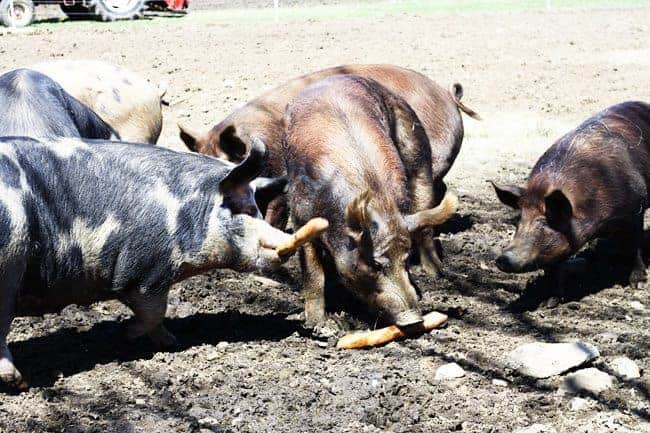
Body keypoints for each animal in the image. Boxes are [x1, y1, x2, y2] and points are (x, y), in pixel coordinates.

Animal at [0, 136, 306, 388]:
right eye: (237, 208)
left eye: (257, 209)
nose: (285, 242)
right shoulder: (145, 270)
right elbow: (155, 311)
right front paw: (128, 335)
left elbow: (157, 317)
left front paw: (171, 343)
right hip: (9, 266)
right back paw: (18, 382)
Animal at [280, 75, 456, 330]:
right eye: (375, 264)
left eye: (405, 260)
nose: (414, 320)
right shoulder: (300, 214)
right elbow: (313, 273)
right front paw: (317, 325)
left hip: (418, 153)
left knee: (425, 224)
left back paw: (436, 273)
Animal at [492, 100, 648, 304]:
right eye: (519, 221)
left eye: (546, 222)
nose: (503, 258)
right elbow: (553, 269)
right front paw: (549, 302)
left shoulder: (636, 207)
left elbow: (635, 246)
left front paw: (638, 284)